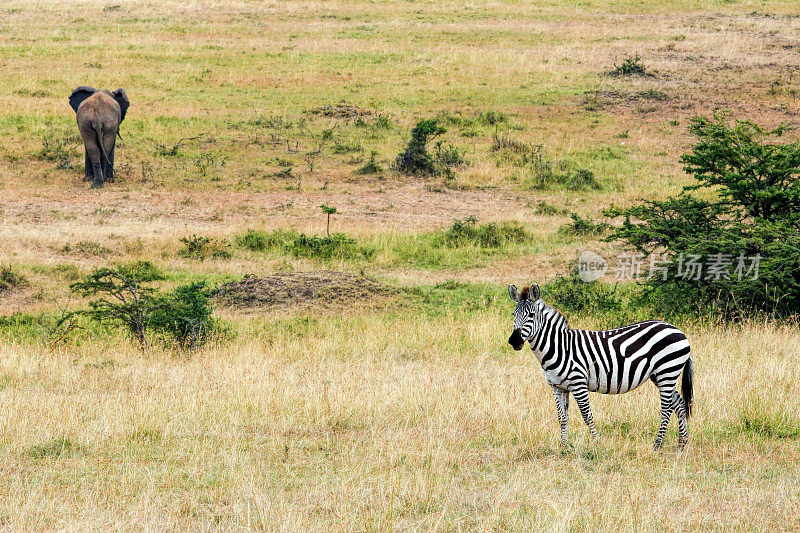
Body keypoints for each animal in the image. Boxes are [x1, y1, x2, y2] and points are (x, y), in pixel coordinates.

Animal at [510, 282, 692, 448]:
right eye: (513, 314)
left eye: (531, 315)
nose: (514, 341)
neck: (559, 347)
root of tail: (678, 330)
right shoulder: (557, 387)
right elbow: (562, 417)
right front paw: (564, 447)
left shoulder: (578, 383)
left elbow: (587, 415)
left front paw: (597, 444)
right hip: (660, 375)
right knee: (679, 404)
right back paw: (682, 444)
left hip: (667, 371)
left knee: (667, 409)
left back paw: (657, 445)